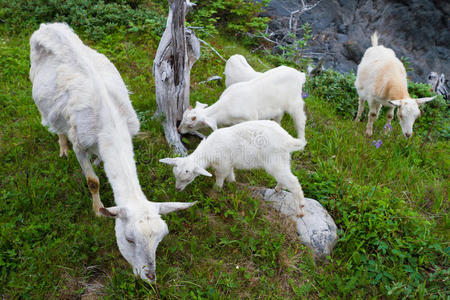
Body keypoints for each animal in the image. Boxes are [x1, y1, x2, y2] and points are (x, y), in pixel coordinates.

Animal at [28, 23, 195, 284]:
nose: (150, 277)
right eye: (129, 239)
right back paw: (62, 146)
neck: (110, 125)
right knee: (55, 124)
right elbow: (93, 181)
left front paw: (99, 163)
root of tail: (49, 26)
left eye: (161, 239)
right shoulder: (80, 144)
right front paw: (98, 210)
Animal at [161, 120, 306, 217]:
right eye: (175, 176)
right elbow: (230, 175)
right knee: (286, 177)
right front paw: (232, 185)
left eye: (188, 179)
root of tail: (288, 139)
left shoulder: (222, 163)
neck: (209, 150)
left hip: (274, 160)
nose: (177, 189)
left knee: (293, 181)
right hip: (282, 159)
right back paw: (279, 188)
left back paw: (300, 209)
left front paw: (216, 190)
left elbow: (220, 176)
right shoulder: (228, 163)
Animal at [178, 66, 308, 141]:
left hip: (295, 102)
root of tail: (300, 75)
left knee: (300, 120)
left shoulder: (251, 118)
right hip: (278, 107)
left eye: (190, 125)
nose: (179, 131)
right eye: (183, 118)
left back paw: (301, 142)